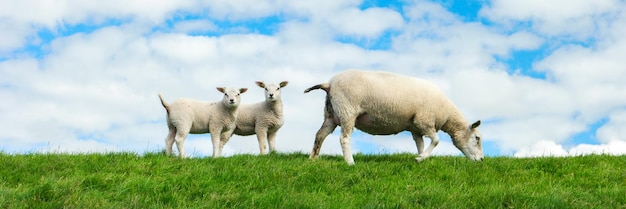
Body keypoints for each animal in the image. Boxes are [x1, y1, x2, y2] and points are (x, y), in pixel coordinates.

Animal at [302, 70, 482, 165]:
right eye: (477, 138)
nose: (481, 160)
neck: (446, 114)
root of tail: (329, 84)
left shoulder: (415, 128)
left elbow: (421, 144)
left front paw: (421, 159)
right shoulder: (424, 120)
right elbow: (436, 140)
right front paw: (421, 157)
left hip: (331, 114)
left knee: (320, 135)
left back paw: (313, 159)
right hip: (347, 111)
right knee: (344, 139)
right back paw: (350, 162)